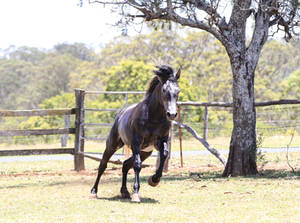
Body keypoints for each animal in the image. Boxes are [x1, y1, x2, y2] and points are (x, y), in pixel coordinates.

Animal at [89, 65, 180, 202]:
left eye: (178, 91)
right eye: (164, 90)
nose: (172, 114)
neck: (153, 117)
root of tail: (121, 114)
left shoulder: (161, 141)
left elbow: (164, 155)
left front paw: (154, 180)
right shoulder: (136, 143)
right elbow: (137, 165)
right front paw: (136, 193)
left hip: (145, 152)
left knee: (126, 165)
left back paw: (125, 191)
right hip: (112, 145)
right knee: (103, 165)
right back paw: (94, 192)